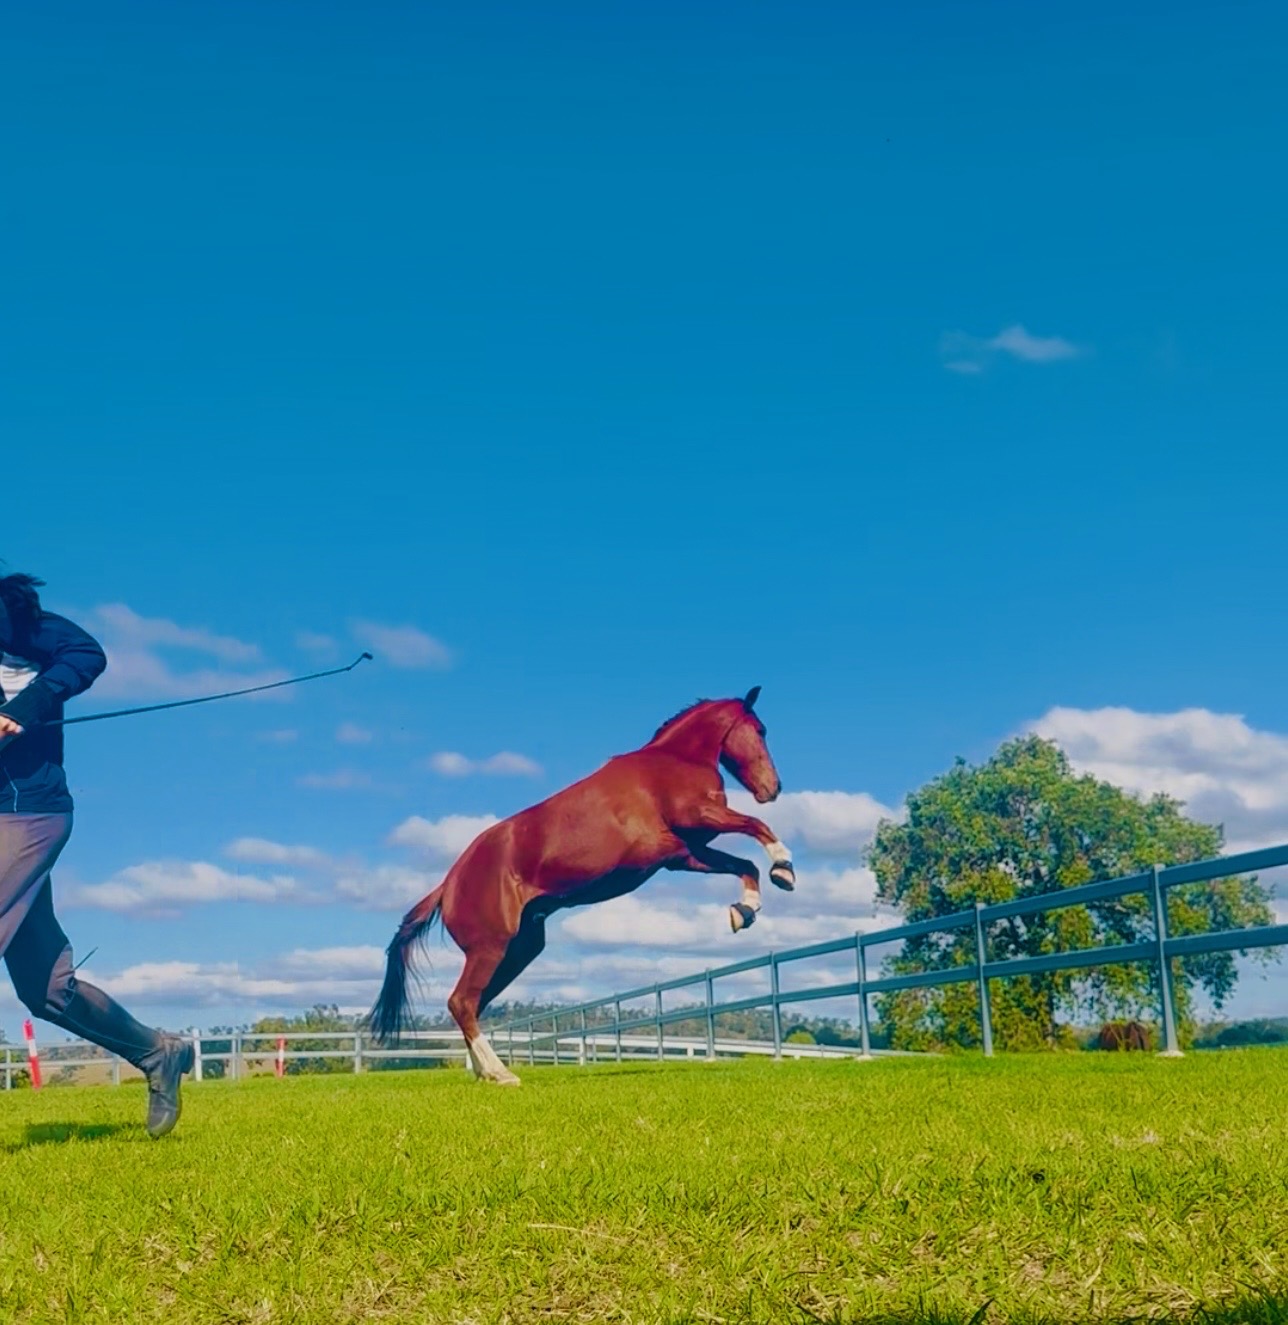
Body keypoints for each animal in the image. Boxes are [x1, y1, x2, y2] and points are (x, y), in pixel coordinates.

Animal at [367, 687, 793, 1085]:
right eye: (760, 730)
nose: (773, 788)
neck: (671, 763)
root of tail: (447, 885)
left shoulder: (684, 854)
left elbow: (745, 865)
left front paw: (745, 911)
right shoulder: (695, 823)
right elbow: (757, 827)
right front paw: (784, 868)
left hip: (517, 951)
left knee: (473, 1003)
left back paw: (484, 1072)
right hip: (491, 949)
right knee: (462, 1002)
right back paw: (501, 1074)